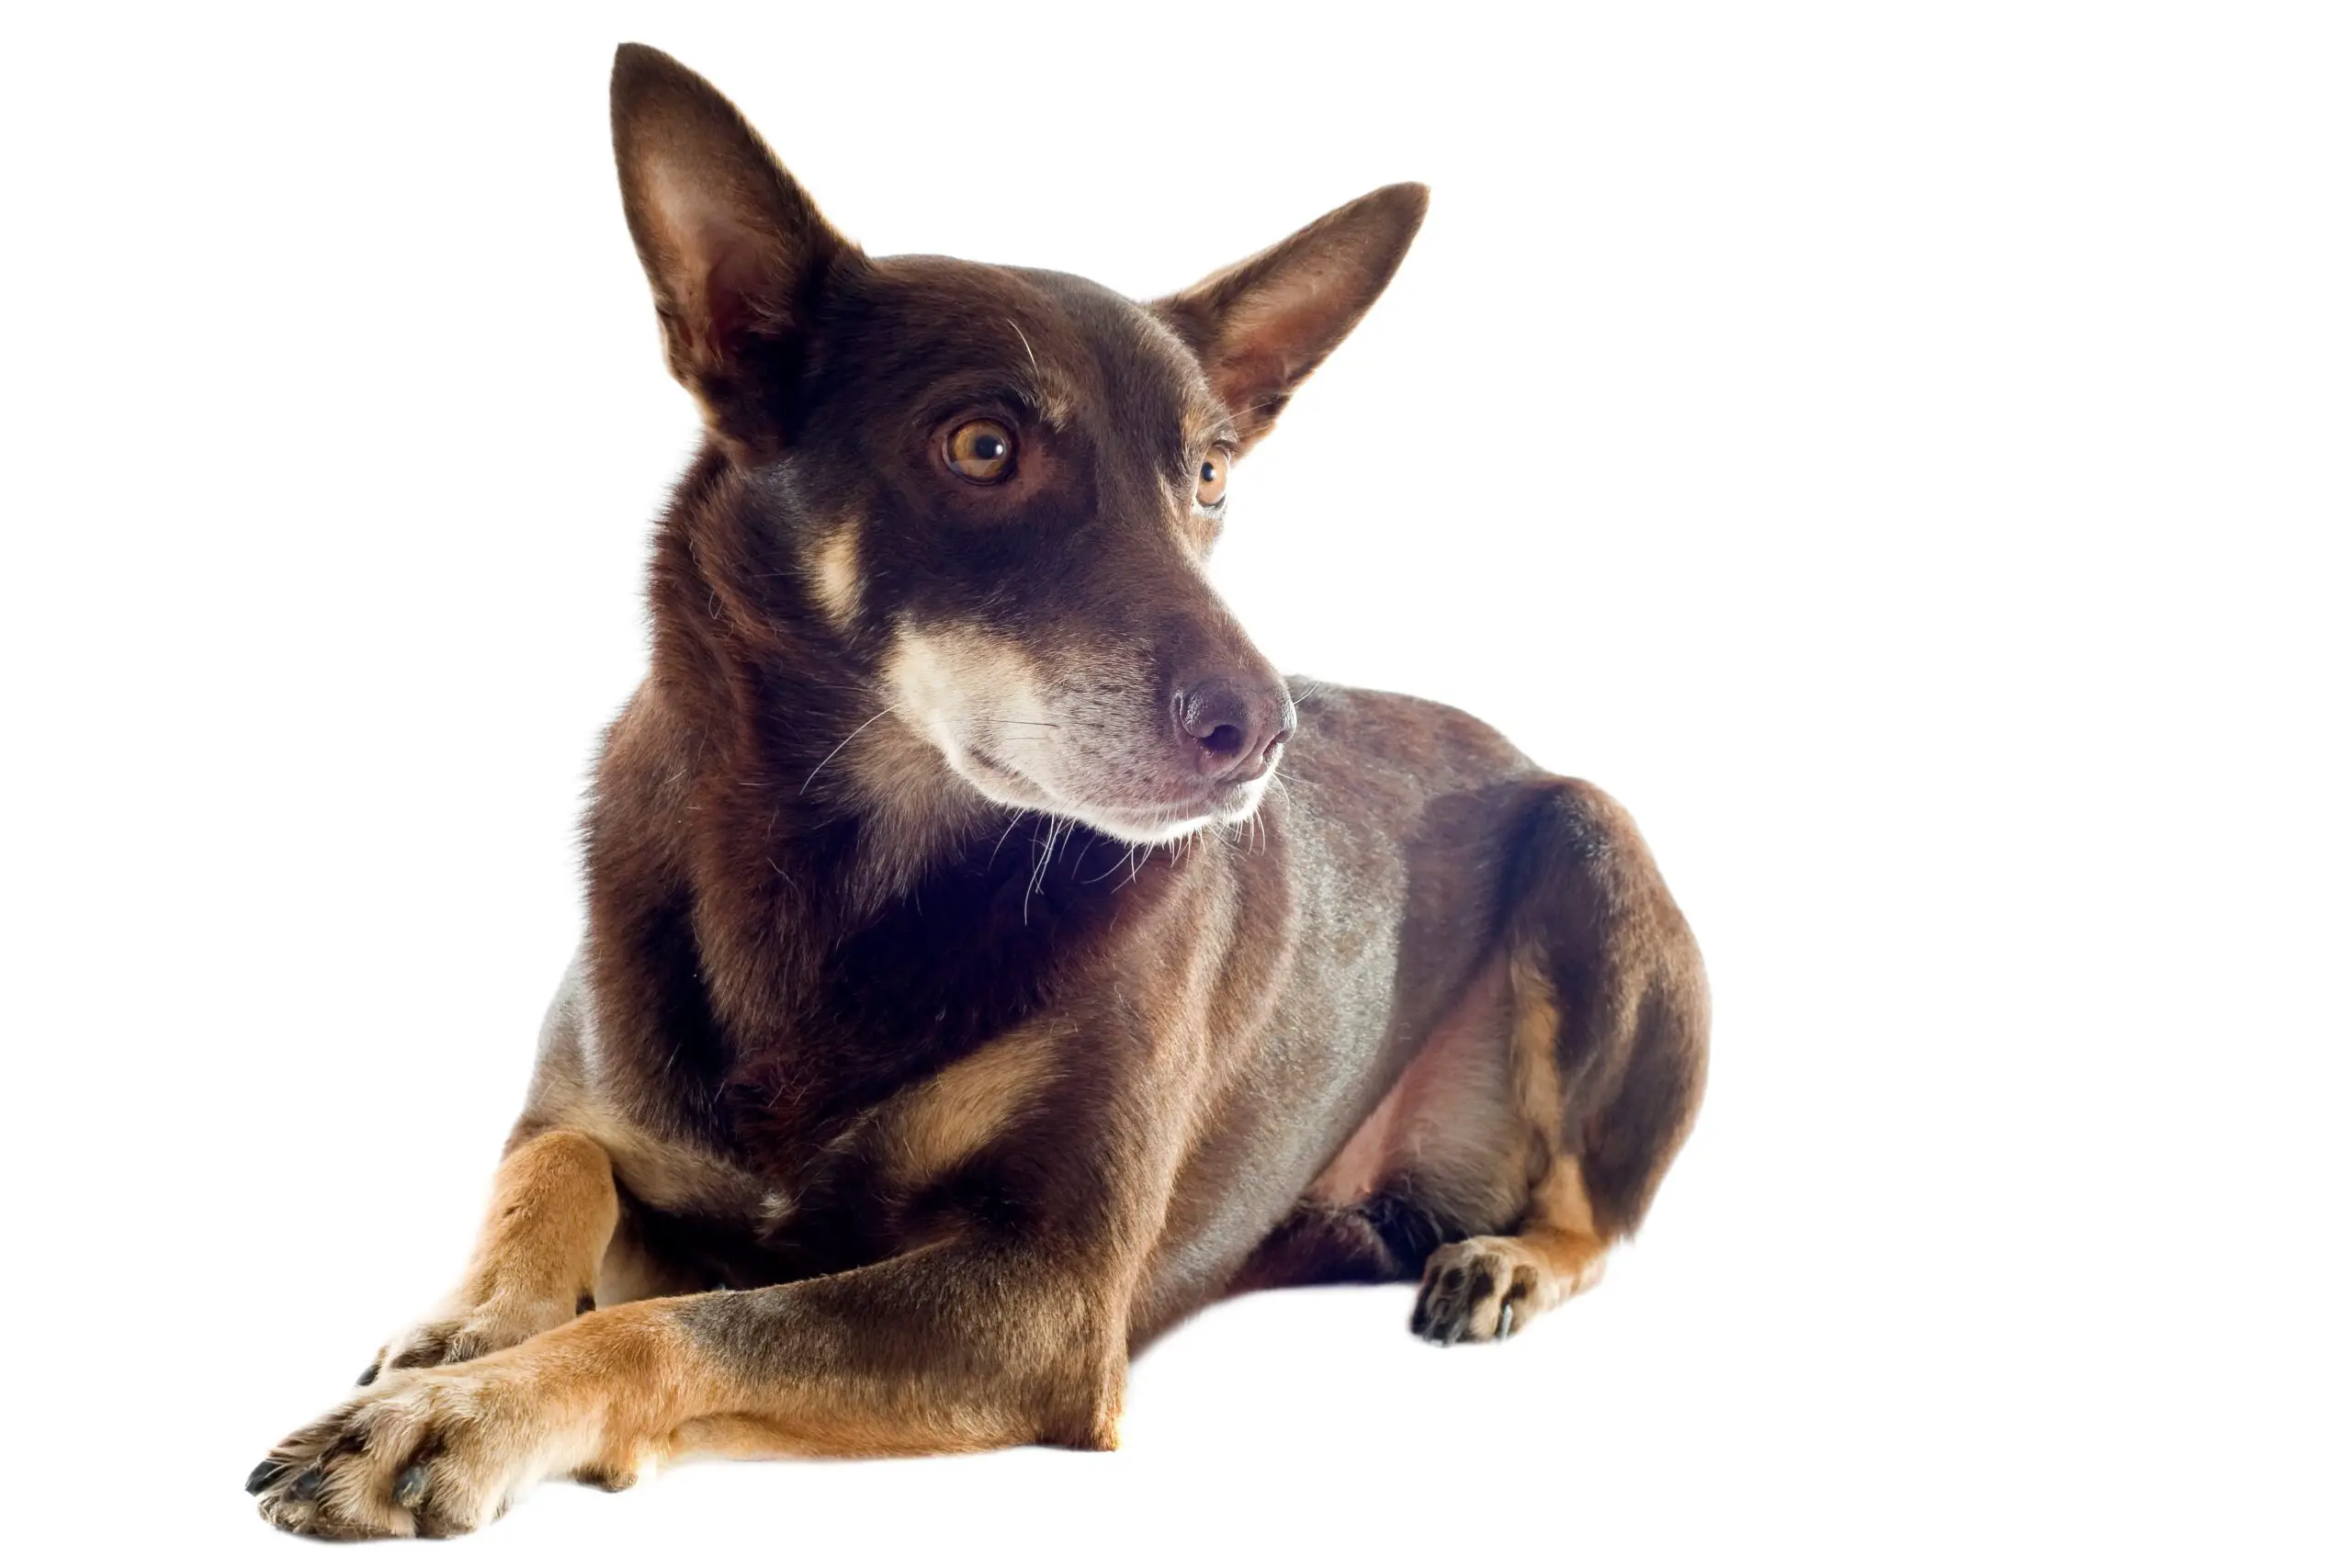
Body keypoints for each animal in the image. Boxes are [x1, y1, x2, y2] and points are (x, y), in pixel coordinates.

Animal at [243, 42, 1712, 1541]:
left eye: (1209, 475)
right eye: (982, 448)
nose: (1263, 731)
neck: (837, 865)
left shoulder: (1041, 1298)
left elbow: (676, 1324)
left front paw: (459, 1412)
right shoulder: (594, 1113)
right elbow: (549, 1169)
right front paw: (463, 1327)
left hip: (1595, 839)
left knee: (1597, 1212)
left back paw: (1506, 1260)